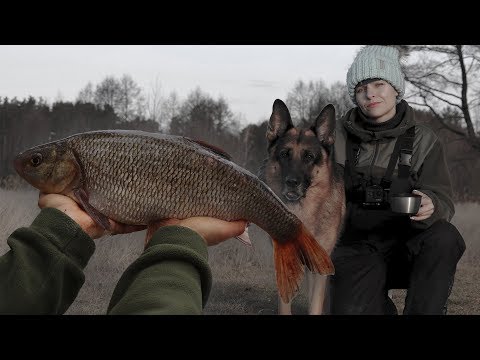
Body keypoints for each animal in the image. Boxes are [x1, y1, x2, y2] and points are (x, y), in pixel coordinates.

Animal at [262, 99, 344, 316]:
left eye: (309, 157)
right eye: (284, 154)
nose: (292, 182)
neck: (303, 212)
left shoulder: (321, 267)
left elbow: (315, 305)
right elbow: (284, 304)